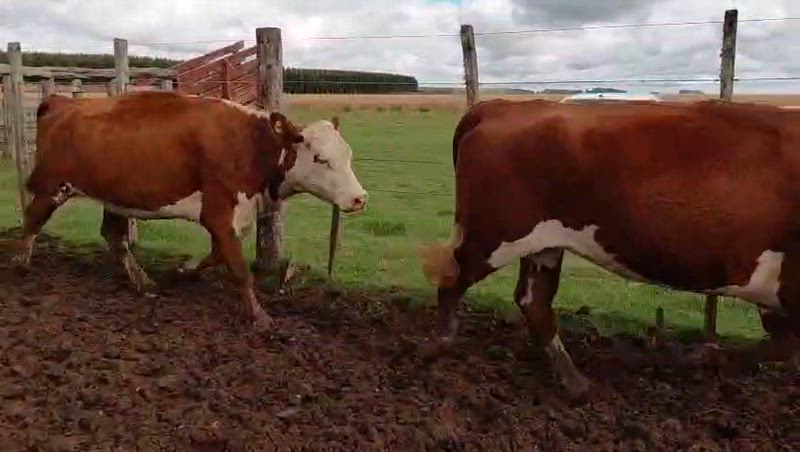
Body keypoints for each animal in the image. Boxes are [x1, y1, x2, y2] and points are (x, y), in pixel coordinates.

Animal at [12, 90, 367, 331]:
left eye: (349, 155)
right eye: (320, 158)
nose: (359, 198)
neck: (250, 145)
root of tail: (63, 102)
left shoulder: (233, 218)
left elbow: (218, 255)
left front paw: (185, 270)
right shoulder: (219, 213)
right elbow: (240, 269)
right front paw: (259, 316)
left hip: (116, 197)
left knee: (114, 236)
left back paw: (143, 283)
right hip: (52, 187)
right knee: (32, 219)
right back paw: (20, 265)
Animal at [421, 97, 800, 398]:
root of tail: (503, 105)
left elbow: (784, 343)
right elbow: (786, 345)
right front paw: (709, 358)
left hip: (543, 244)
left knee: (533, 300)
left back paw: (575, 381)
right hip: (493, 234)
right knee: (453, 278)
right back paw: (439, 347)